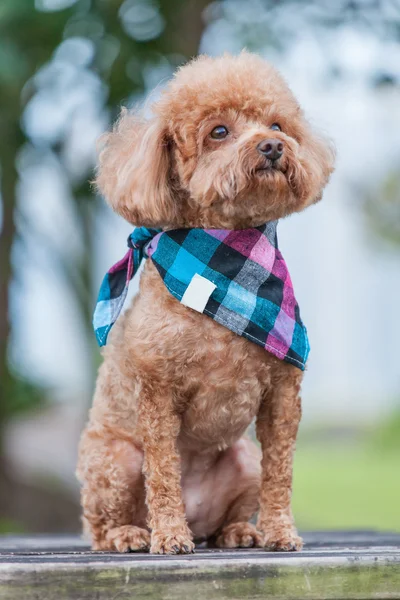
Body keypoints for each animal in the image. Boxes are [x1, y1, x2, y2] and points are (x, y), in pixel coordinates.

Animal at [76, 51, 332, 552]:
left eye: (277, 124)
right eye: (218, 132)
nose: (272, 146)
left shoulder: (283, 393)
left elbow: (280, 471)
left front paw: (280, 532)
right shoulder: (156, 392)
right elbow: (162, 471)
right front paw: (170, 537)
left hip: (242, 456)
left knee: (230, 508)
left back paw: (239, 531)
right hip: (112, 459)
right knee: (100, 525)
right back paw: (133, 534)